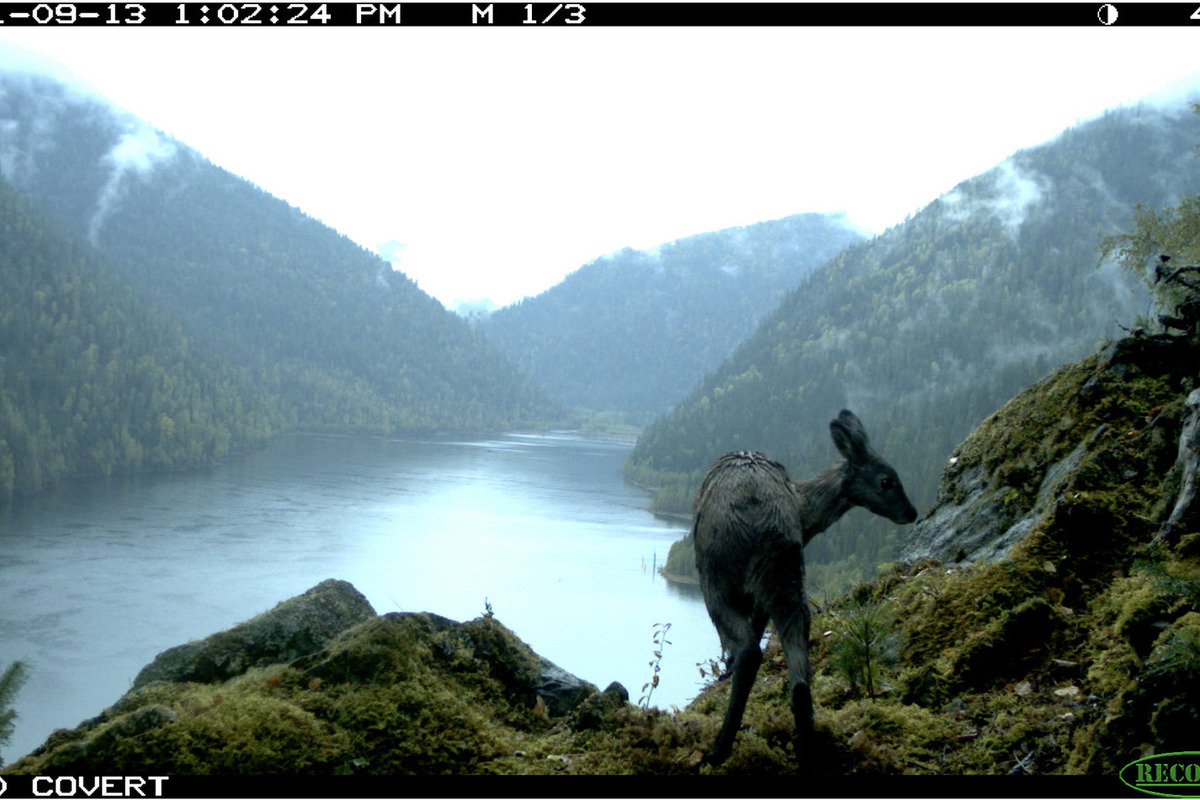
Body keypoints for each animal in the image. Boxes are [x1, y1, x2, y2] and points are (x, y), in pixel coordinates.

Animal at [691, 410, 912, 767]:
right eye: (887, 480)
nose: (912, 512)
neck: (806, 511)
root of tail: (762, 518)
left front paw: (725, 670)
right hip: (790, 578)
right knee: (800, 669)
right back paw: (808, 749)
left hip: (717, 577)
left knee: (750, 651)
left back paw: (718, 750)